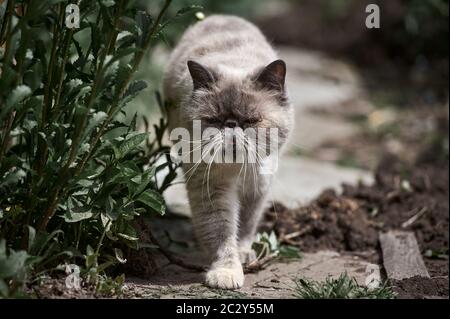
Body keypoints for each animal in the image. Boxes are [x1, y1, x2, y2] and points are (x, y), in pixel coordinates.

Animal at [163, 15, 294, 290]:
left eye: (252, 121)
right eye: (213, 120)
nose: (232, 125)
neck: (236, 170)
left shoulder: (258, 186)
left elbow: (246, 225)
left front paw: (243, 255)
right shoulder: (211, 188)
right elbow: (220, 235)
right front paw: (226, 273)